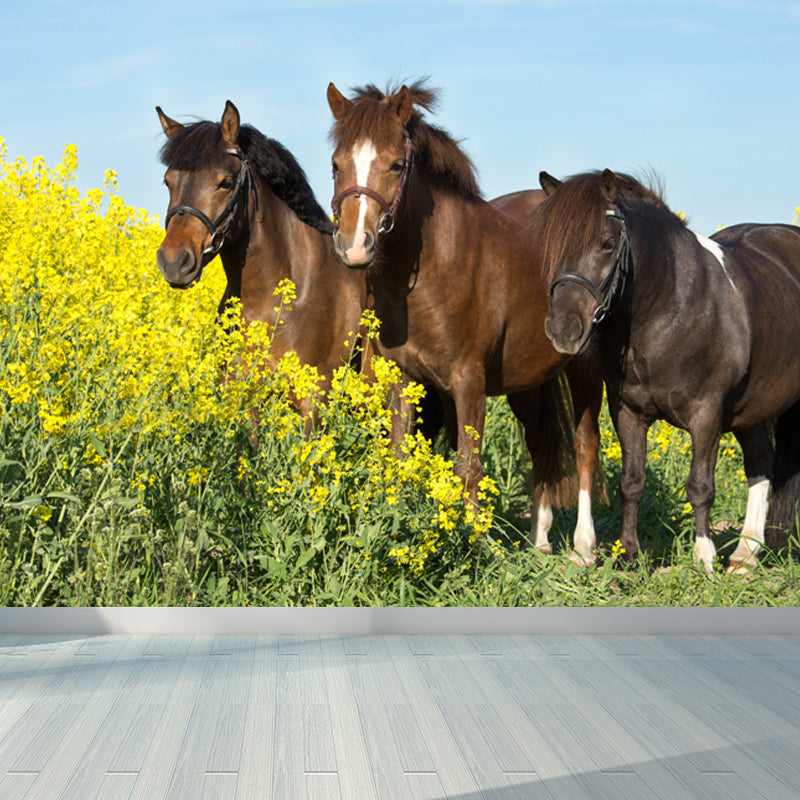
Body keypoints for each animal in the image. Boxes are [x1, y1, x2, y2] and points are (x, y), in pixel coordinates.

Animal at [326, 81, 605, 563]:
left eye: (396, 164)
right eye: (336, 165)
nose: (354, 247)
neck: (436, 268)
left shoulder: (468, 382)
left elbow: (468, 466)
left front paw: (471, 544)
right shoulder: (405, 380)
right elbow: (401, 458)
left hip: (585, 370)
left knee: (584, 447)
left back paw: (583, 547)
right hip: (526, 381)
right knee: (541, 444)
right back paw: (539, 539)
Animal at [539, 168, 800, 572]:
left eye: (607, 244)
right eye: (551, 247)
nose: (563, 330)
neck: (671, 310)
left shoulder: (707, 415)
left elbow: (700, 487)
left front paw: (704, 558)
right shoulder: (628, 412)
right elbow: (631, 482)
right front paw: (628, 555)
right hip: (752, 409)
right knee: (761, 463)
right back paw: (745, 555)